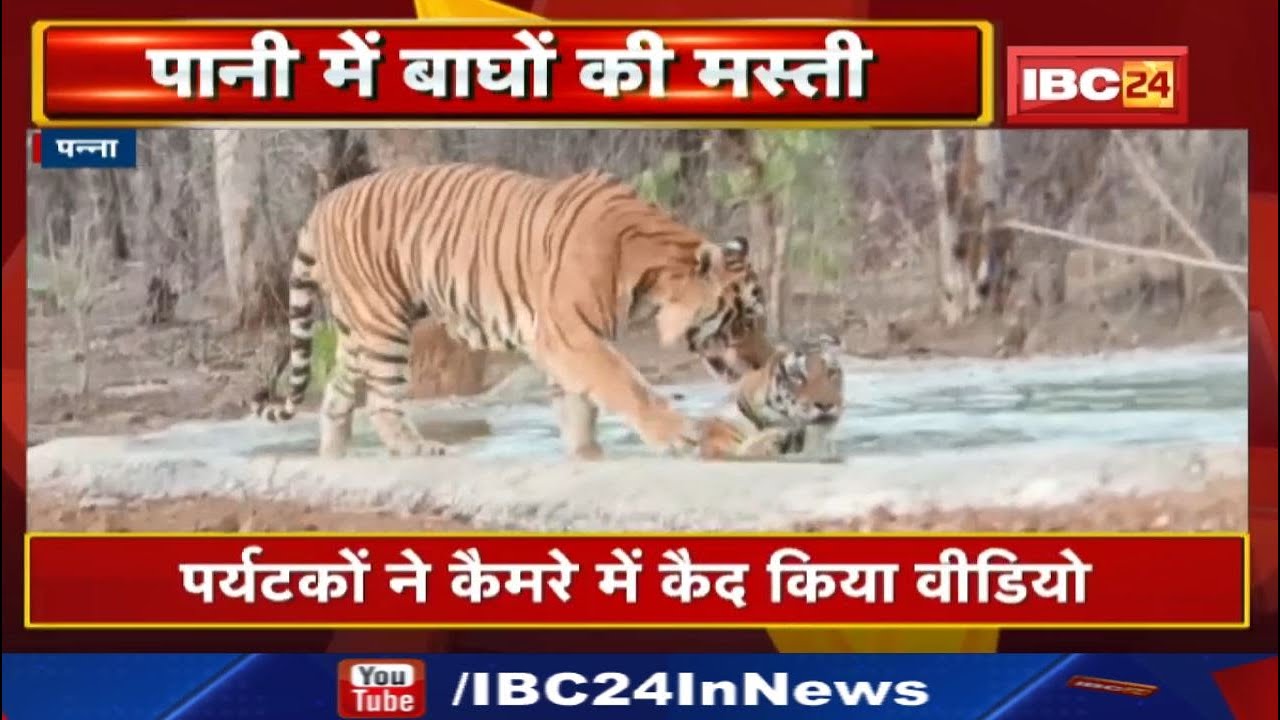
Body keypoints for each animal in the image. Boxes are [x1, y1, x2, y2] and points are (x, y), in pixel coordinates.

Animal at [249, 163, 770, 460]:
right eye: (743, 319)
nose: (764, 363)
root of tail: (321, 206)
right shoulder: (569, 333)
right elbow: (627, 385)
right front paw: (677, 435)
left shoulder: (566, 339)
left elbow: (577, 402)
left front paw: (586, 453)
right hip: (382, 324)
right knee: (380, 399)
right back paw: (417, 448)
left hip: (360, 327)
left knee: (338, 392)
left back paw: (334, 455)